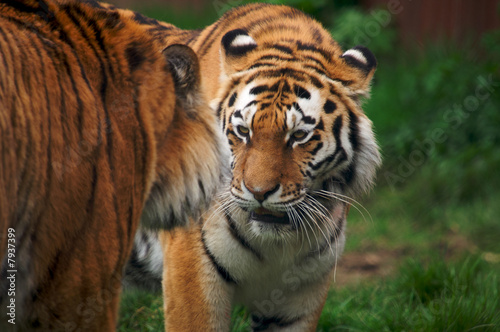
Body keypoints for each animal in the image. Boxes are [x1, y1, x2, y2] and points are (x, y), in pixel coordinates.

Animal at [124, 3, 378, 332]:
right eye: (243, 131)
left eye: (299, 136)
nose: (259, 192)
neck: (279, 244)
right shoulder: (191, 269)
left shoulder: (303, 290)